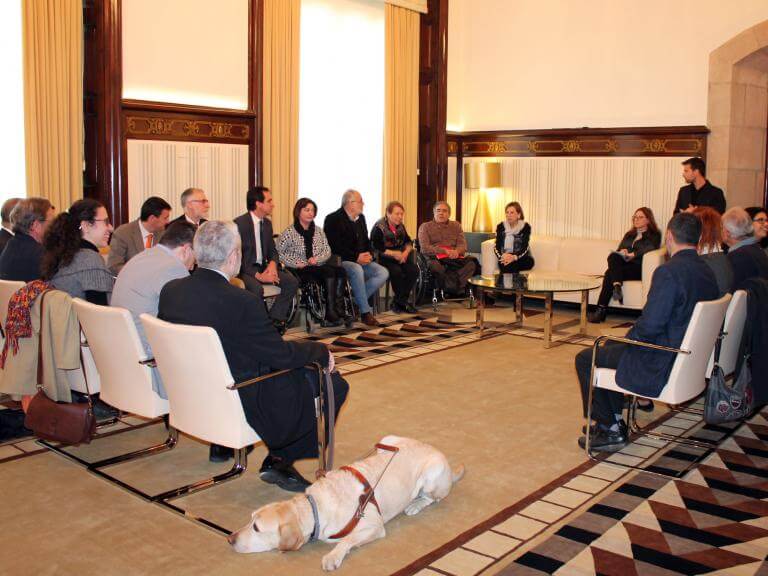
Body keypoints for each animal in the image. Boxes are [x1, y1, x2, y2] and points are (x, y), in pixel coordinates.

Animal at [228, 436, 462, 572]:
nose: (230, 539)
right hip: (388, 440)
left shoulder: (374, 526)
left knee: (433, 497)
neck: (314, 508)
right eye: (250, 520)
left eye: (256, 528)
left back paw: (415, 504)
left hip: (432, 473)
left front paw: (332, 557)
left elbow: (346, 540)